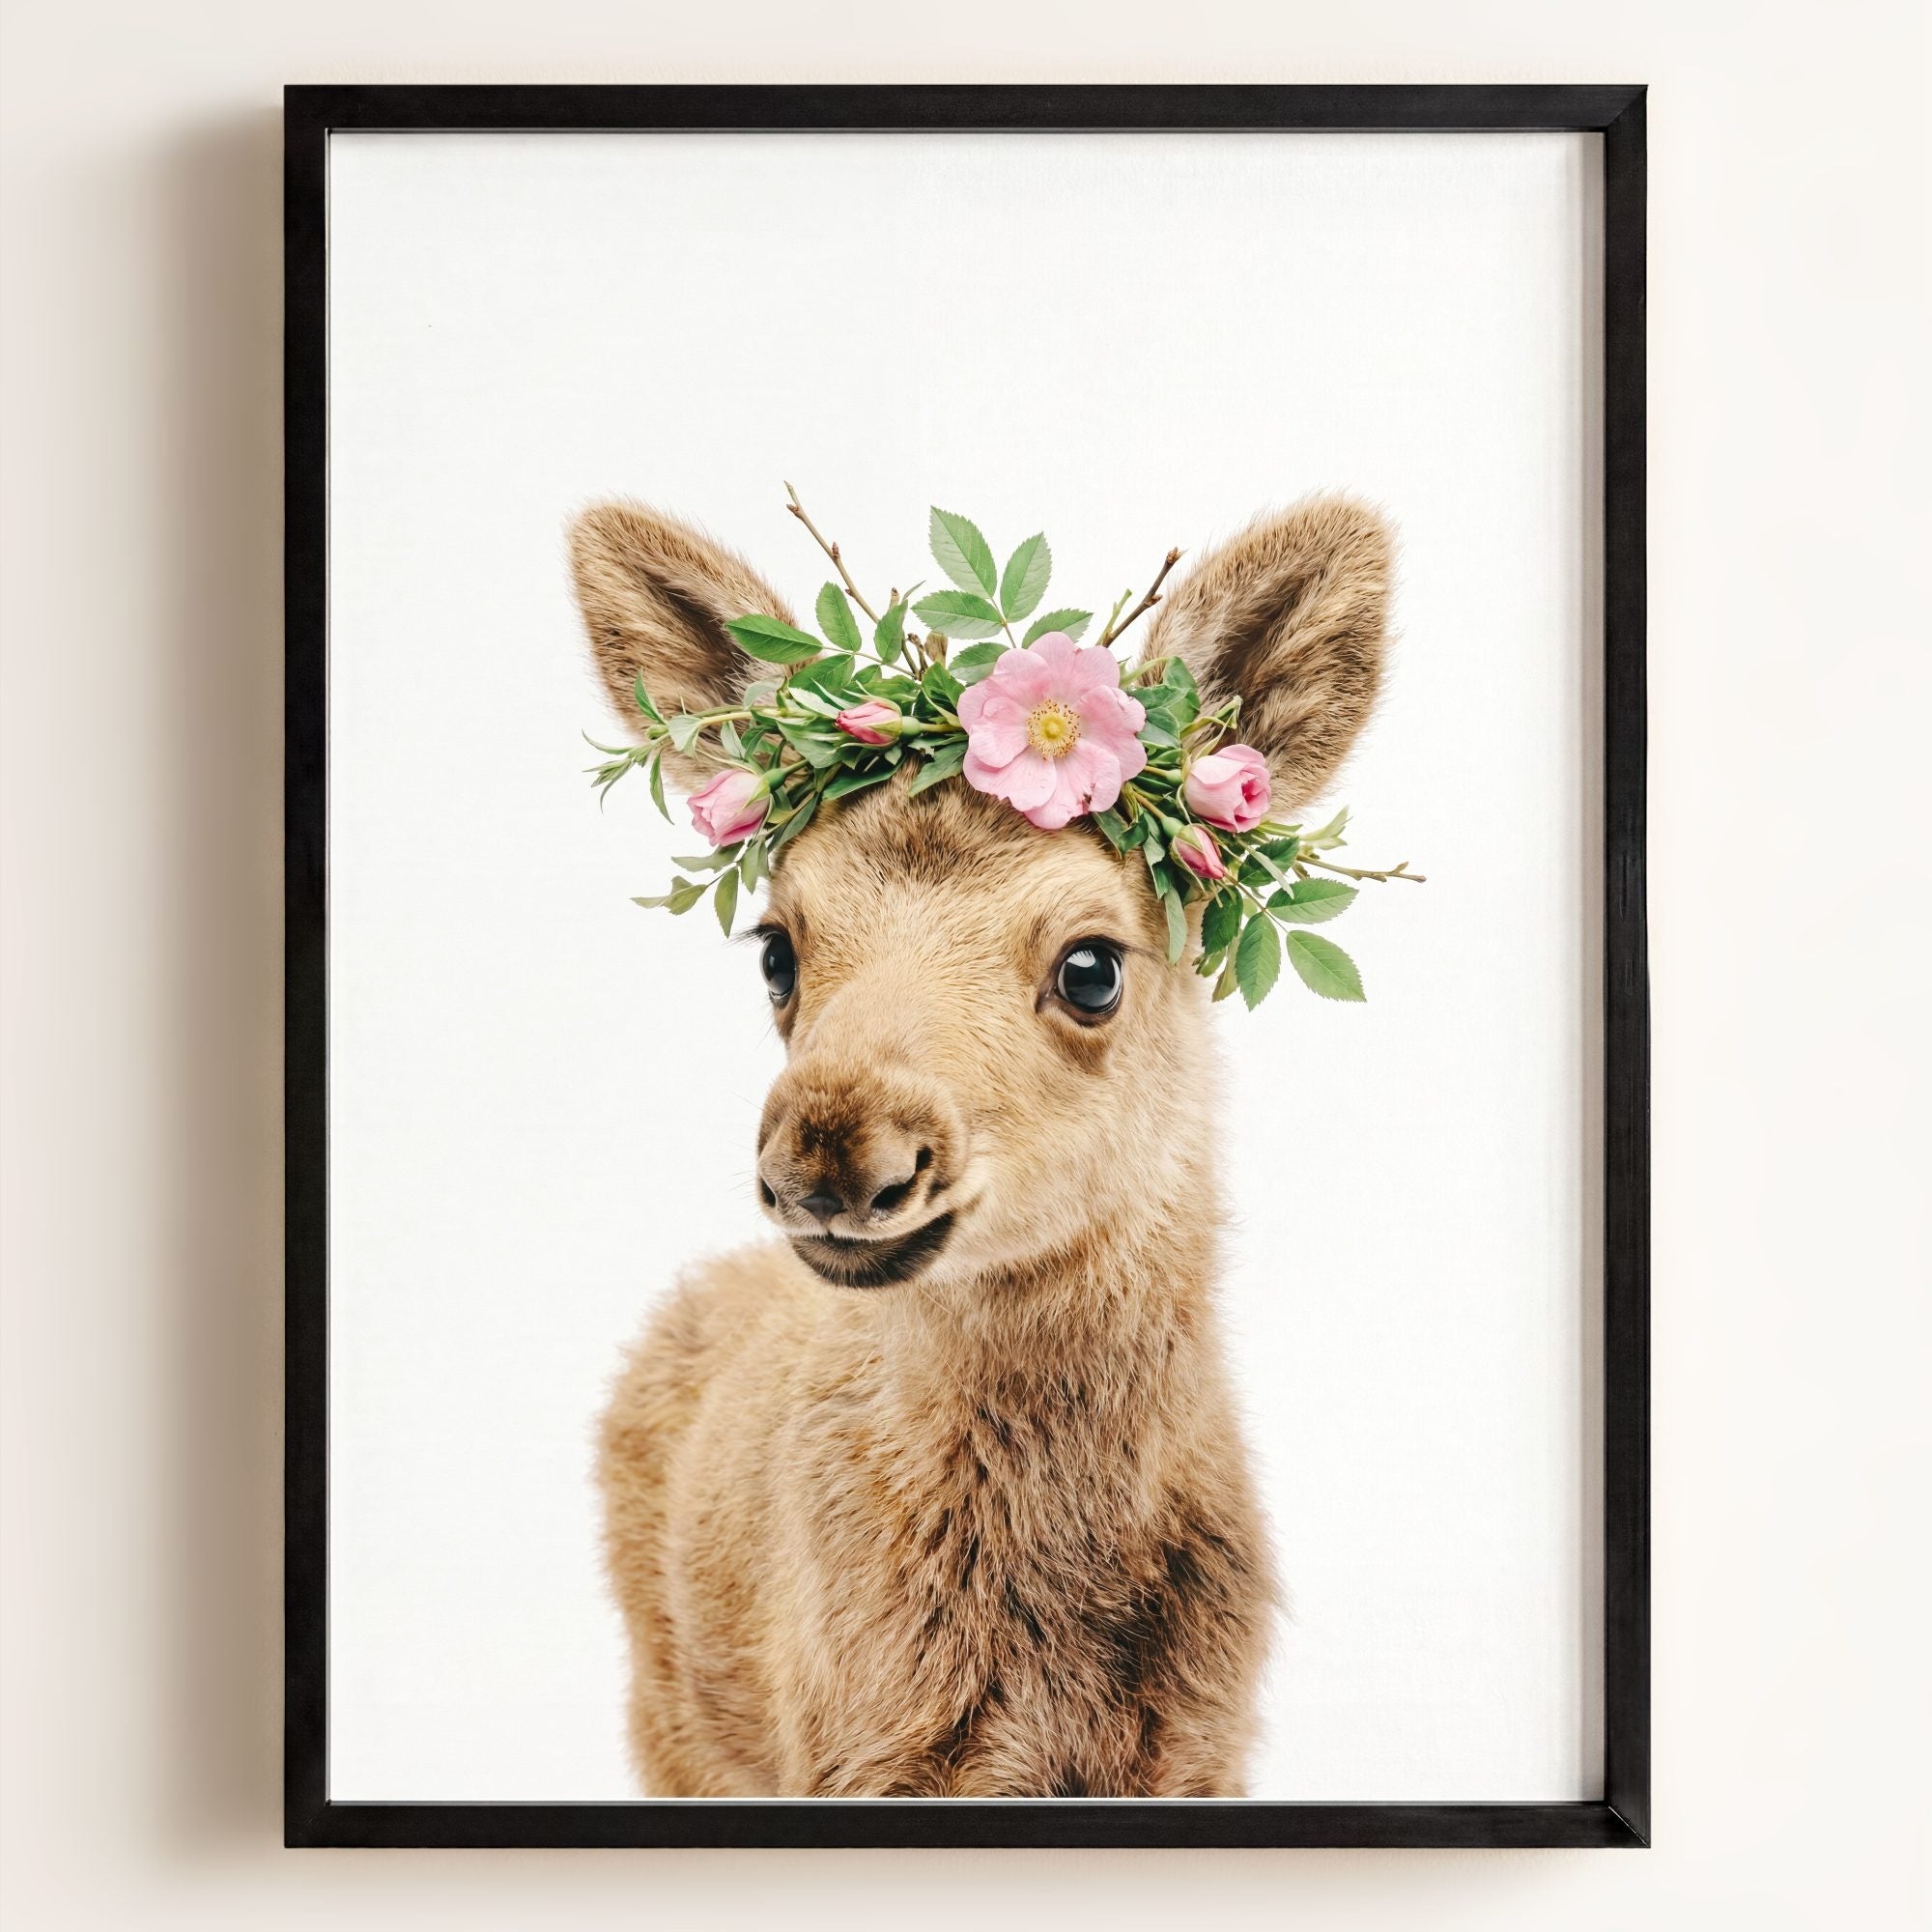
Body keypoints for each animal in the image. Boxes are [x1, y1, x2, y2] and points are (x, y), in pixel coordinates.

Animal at [569, 492, 1393, 1797]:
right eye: (777, 948)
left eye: (1091, 964)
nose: (832, 1152)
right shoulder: (850, 1751)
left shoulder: (1202, 1749)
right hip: (671, 1716)